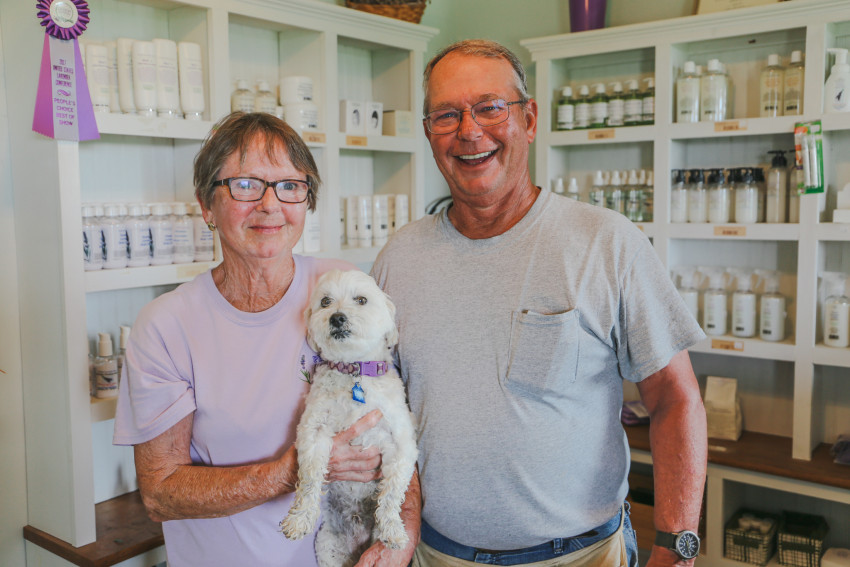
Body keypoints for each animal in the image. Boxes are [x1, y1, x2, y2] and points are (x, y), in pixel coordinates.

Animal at [280, 270, 416, 567]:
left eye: (361, 300)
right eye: (325, 301)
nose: (337, 317)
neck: (353, 371)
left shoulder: (401, 442)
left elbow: (392, 492)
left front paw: (392, 529)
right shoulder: (313, 432)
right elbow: (309, 479)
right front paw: (299, 519)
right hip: (327, 547)